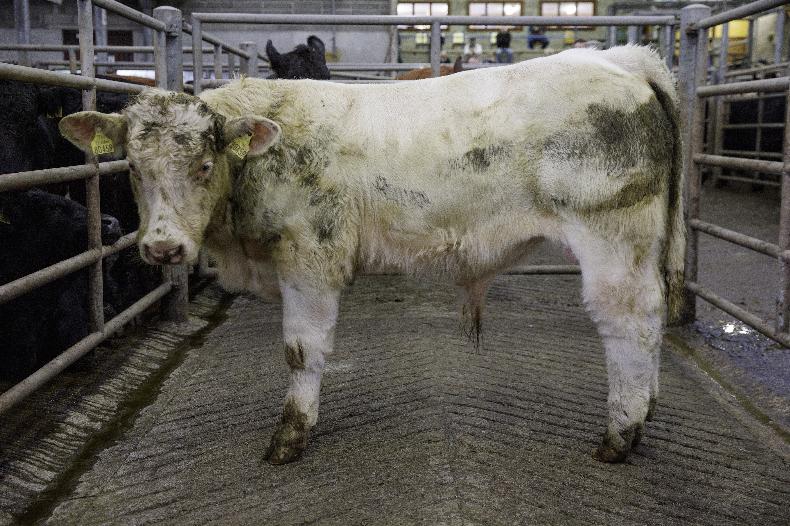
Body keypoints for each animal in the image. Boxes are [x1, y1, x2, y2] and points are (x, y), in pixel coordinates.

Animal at [60, 45, 685, 465]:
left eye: (204, 165)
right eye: (133, 169)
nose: (163, 246)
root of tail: (619, 58)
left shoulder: (309, 258)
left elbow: (301, 350)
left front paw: (290, 435)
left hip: (612, 237)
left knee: (630, 322)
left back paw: (620, 434)